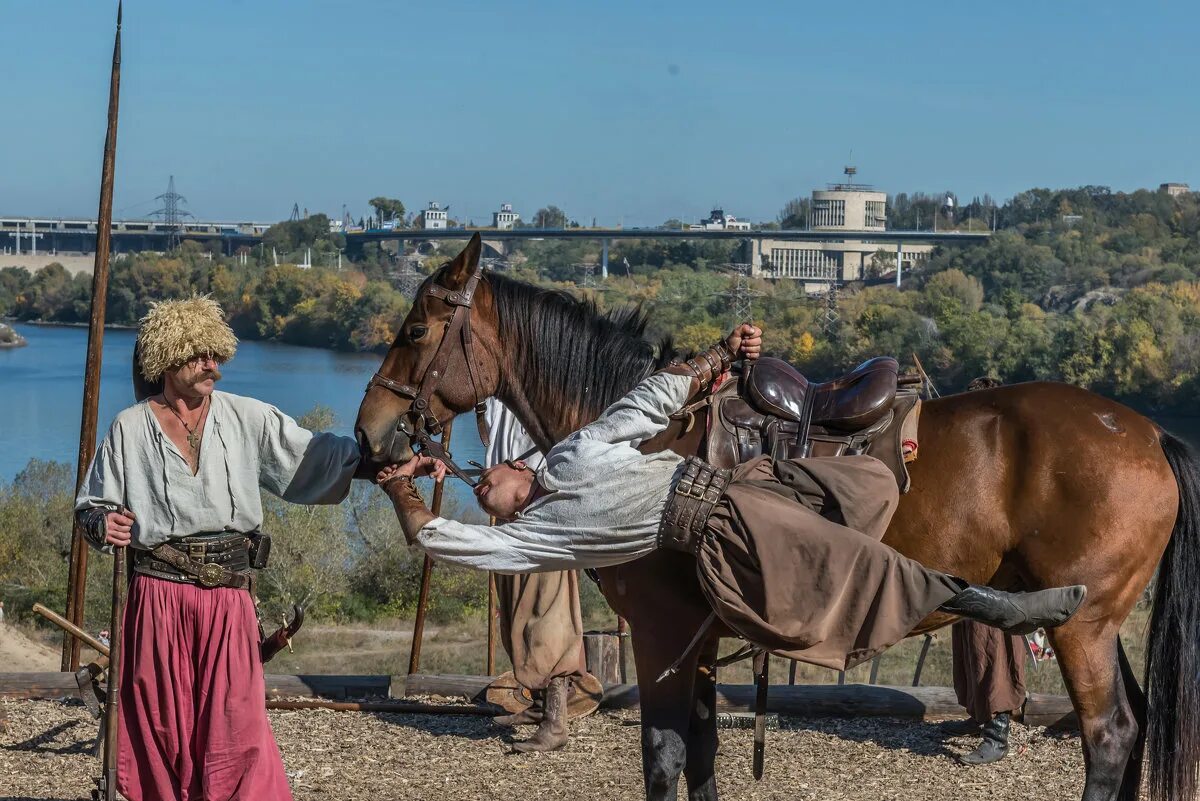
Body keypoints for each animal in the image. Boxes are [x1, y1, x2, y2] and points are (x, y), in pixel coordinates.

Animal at [355, 236, 1200, 801]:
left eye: (416, 331)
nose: (371, 433)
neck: (649, 437)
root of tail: (1149, 432)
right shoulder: (694, 639)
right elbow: (699, 753)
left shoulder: (662, 633)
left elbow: (664, 757)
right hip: (1098, 621)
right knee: (1133, 722)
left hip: (1083, 628)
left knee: (1110, 734)